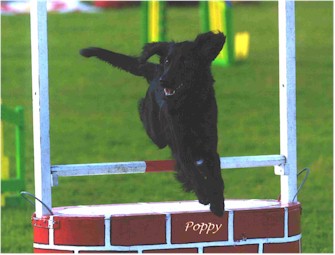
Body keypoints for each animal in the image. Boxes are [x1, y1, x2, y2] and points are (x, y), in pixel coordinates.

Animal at [79, 30, 226, 216]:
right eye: (167, 61)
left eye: (185, 61)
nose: (164, 80)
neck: (190, 104)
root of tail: (156, 71)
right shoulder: (181, 150)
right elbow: (193, 172)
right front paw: (204, 195)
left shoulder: (209, 148)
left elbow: (216, 176)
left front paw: (218, 203)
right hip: (157, 132)